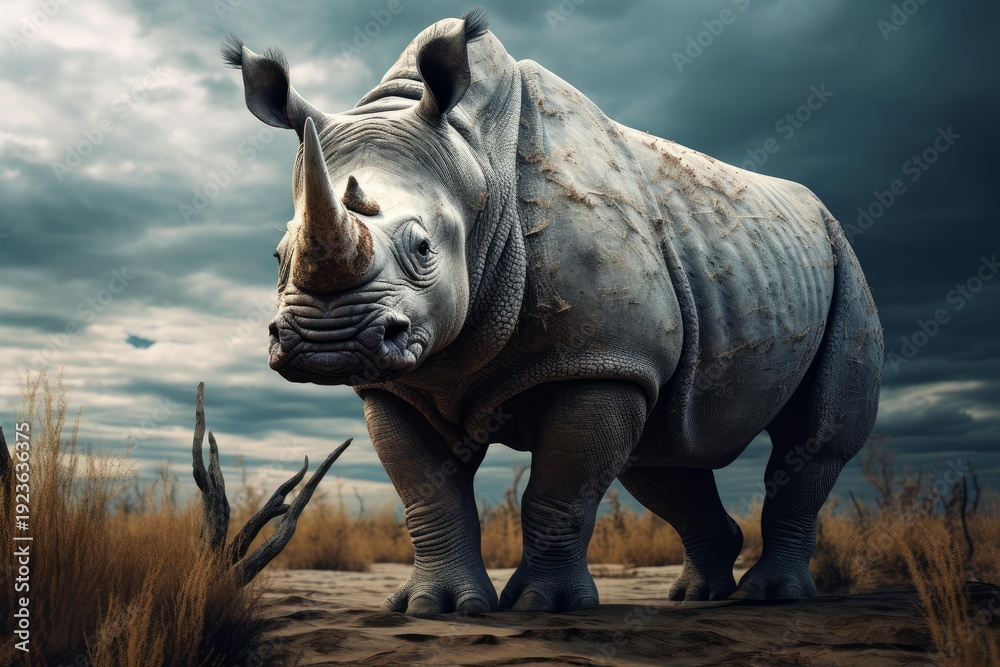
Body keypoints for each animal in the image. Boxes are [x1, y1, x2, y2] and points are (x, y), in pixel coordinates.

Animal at [223, 9, 883, 613]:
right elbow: (428, 495)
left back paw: (773, 597)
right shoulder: (399, 383)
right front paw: (433, 607)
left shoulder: (599, 358)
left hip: (841, 257)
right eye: (278, 255)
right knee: (662, 454)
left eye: (422, 248)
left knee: (812, 442)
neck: (475, 163)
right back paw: (697, 598)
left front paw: (545, 606)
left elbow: (558, 489)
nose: (324, 342)